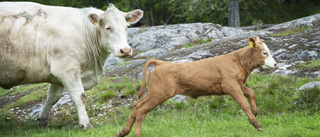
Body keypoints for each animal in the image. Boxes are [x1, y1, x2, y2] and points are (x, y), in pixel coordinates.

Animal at [0, 1, 142, 130]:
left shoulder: (57, 74)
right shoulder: (67, 69)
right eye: (108, 27)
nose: (125, 50)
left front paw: (42, 120)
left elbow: (52, 97)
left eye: (127, 27)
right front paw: (85, 124)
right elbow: (79, 96)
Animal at [116, 35, 276, 136]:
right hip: (159, 94)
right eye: (264, 52)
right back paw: (137, 134)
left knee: (136, 105)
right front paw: (256, 123)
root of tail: (161, 63)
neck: (237, 62)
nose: (275, 64)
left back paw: (123, 132)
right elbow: (243, 103)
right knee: (141, 109)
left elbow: (251, 94)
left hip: (152, 92)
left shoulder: (240, 85)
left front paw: (254, 112)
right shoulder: (231, 86)